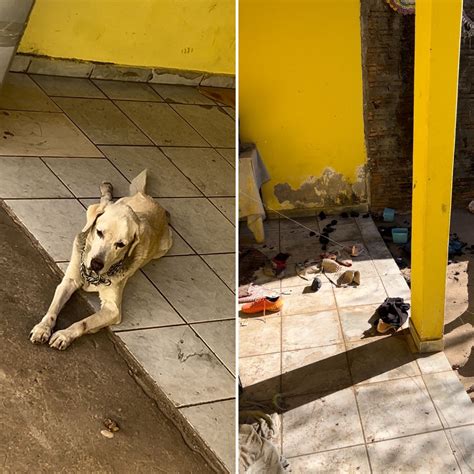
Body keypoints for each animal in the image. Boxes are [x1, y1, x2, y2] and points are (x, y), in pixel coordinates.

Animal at [28, 169, 172, 348]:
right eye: (99, 232)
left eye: (120, 244)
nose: (96, 264)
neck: (93, 276)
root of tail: (152, 201)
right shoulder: (69, 281)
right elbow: (53, 308)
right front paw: (43, 328)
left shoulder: (113, 309)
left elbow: (84, 322)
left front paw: (64, 335)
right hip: (121, 203)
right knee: (107, 202)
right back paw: (106, 189)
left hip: (165, 246)